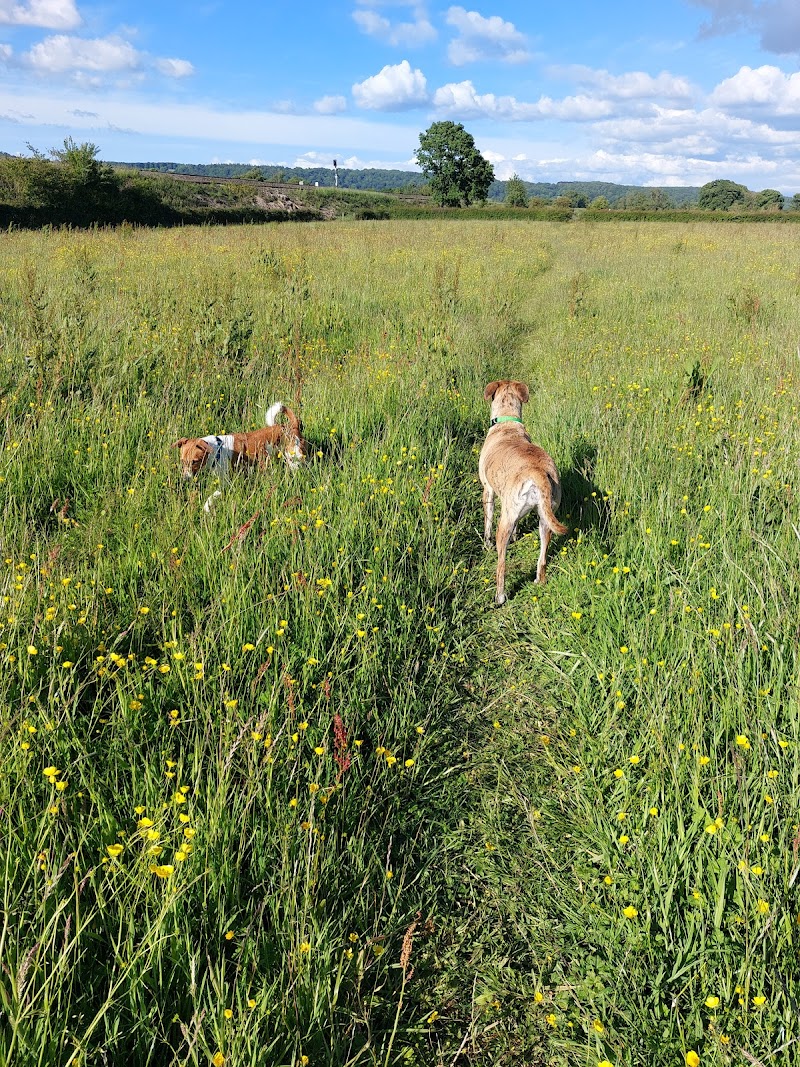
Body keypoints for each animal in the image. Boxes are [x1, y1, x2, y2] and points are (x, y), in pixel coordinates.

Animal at [172, 401, 307, 511]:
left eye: (194, 461)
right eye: (182, 461)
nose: (185, 479)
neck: (217, 450)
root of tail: (291, 426)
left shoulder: (226, 483)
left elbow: (212, 497)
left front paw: (206, 507)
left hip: (294, 459)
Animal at [479, 380, 568, 605]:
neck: (507, 422)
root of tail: (537, 472)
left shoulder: (488, 491)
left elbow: (487, 522)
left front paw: (486, 543)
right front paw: (517, 535)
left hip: (505, 521)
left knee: (501, 565)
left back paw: (500, 596)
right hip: (546, 518)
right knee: (542, 558)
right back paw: (539, 581)